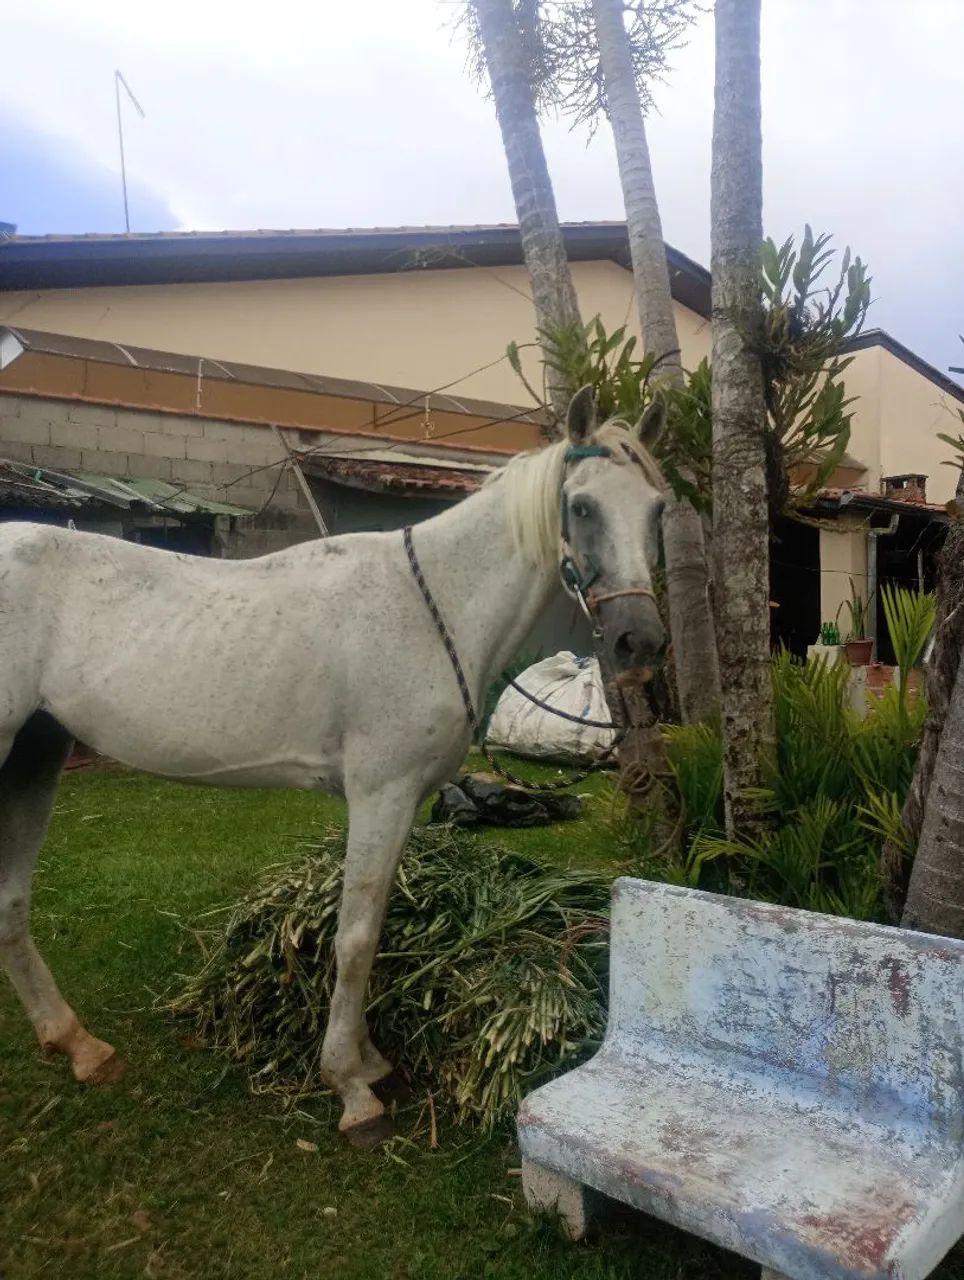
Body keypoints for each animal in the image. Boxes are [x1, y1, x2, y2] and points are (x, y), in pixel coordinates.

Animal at [0, 384, 667, 1147]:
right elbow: (356, 937)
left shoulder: (402, 802)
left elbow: (371, 933)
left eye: (658, 509)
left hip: (37, 752)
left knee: (10, 903)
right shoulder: (380, 795)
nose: (639, 642)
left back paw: (77, 1044)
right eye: (582, 506)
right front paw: (352, 1089)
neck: (435, 604)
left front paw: (370, 1062)